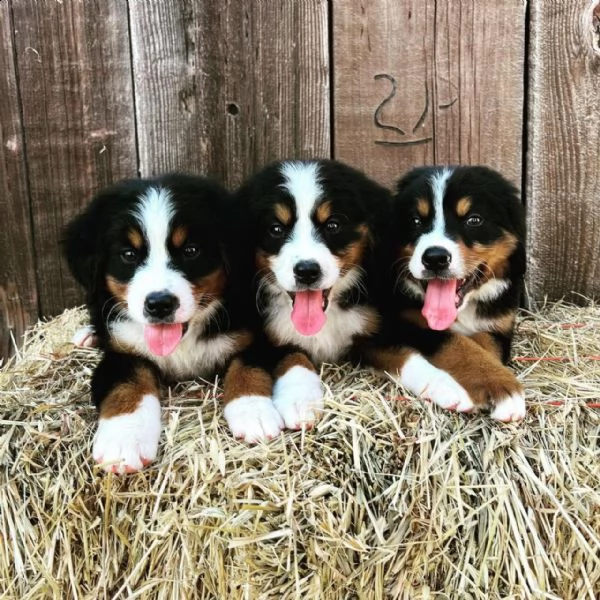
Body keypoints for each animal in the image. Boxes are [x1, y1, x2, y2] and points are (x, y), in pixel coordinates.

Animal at [64, 171, 284, 472]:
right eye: (129, 255)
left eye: (190, 251)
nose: (159, 304)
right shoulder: (122, 353)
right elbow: (126, 386)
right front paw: (123, 441)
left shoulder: (251, 336)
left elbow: (247, 369)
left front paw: (253, 412)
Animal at [237, 159, 392, 432]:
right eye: (276, 229)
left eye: (332, 225)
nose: (307, 271)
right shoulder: (269, 336)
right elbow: (294, 358)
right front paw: (299, 401)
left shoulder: (373, 329)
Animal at [368, 164, 528, 422]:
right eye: (415, 221)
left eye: (474, 220)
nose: (435, 258)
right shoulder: (397, 323)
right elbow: (456, 343)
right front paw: (503, 386)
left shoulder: (499, 326)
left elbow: (485, 345)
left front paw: (495, 379)